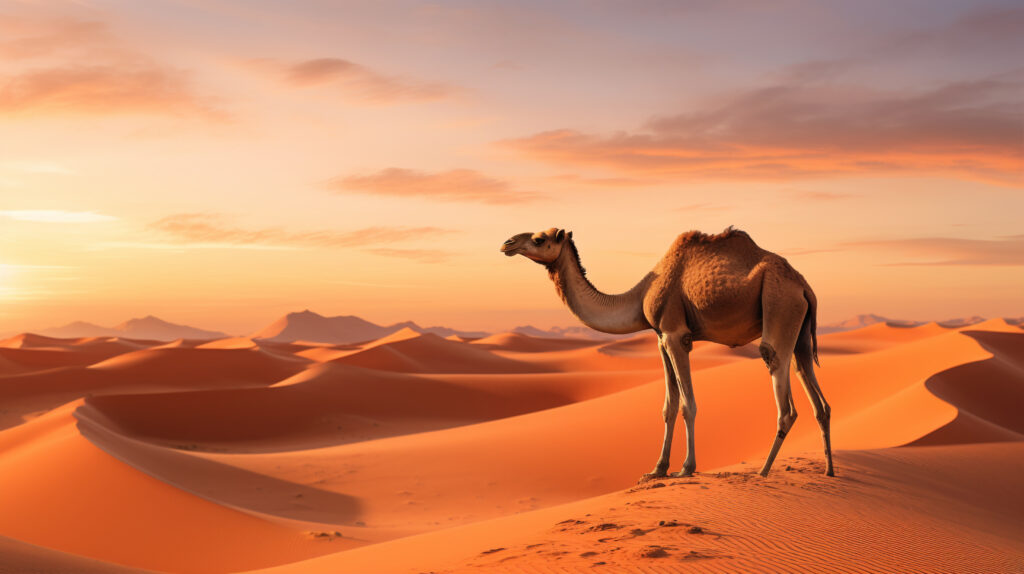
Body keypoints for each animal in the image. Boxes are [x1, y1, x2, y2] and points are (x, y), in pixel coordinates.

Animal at [501, 227, 831, 478]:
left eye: (539, 239)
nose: (507, 243)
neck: (640, 295)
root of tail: (805, 287)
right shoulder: (660, 339)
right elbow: (668, 406)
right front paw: (656, 470)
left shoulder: (675, 335)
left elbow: (687, 405)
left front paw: (686, 468)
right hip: (800, 330)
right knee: (814, 390)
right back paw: (828, 470)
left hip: (779, 303)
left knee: (781, 386)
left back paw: (763, 471)